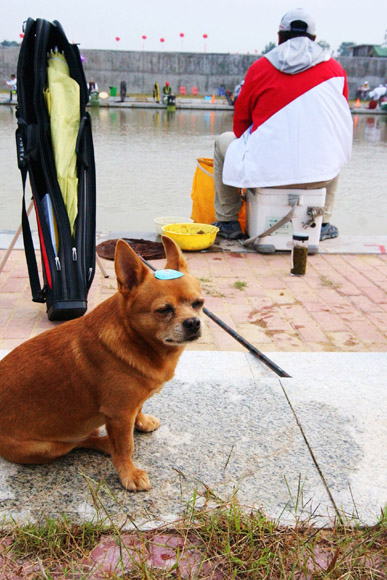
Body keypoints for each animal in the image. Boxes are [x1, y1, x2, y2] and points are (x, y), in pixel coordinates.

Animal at [0, 238, 206, 492]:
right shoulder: (119, 415)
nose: (193, 322)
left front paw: (142, 421)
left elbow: (139, 407)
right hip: (47, 447)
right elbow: (126, 447)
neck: (137, 339)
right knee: (79, 442)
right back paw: (106, 443)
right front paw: (129, 474)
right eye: (164, 310)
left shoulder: (130, 405)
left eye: (199, 304)